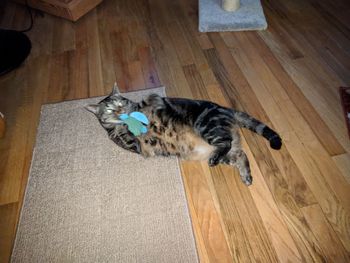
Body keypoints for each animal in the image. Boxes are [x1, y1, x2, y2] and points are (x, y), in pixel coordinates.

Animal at [86, 84, 284, 186]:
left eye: (121, 102)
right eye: (110, 109)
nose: (120, 111)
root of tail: (225, 109)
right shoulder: (131, 143)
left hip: (207, 126)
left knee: (226, 144)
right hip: (224, 149)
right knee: (240, 154)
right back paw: (246, 176)